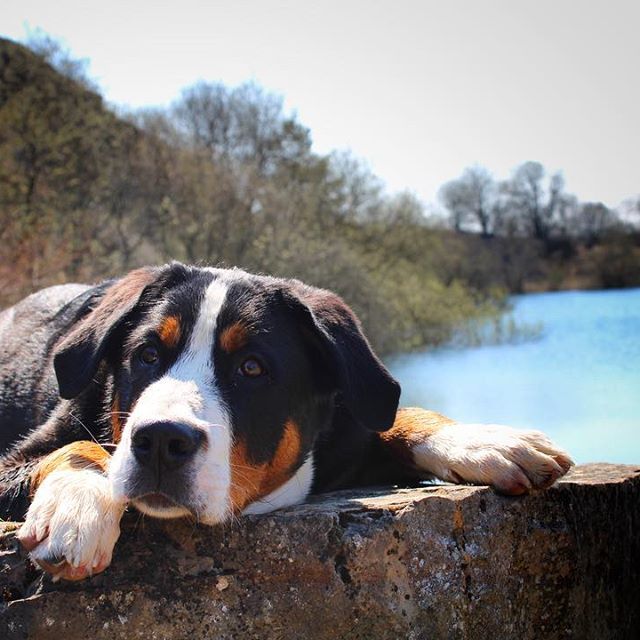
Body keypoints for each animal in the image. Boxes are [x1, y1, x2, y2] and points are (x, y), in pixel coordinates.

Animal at [0, 262, 568, 584]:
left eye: (252, 368)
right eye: (147, 355)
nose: (161, 440)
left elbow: (394, 419)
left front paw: (485, 441)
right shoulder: (19, 456)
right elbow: (80, 449)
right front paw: (76, 511)